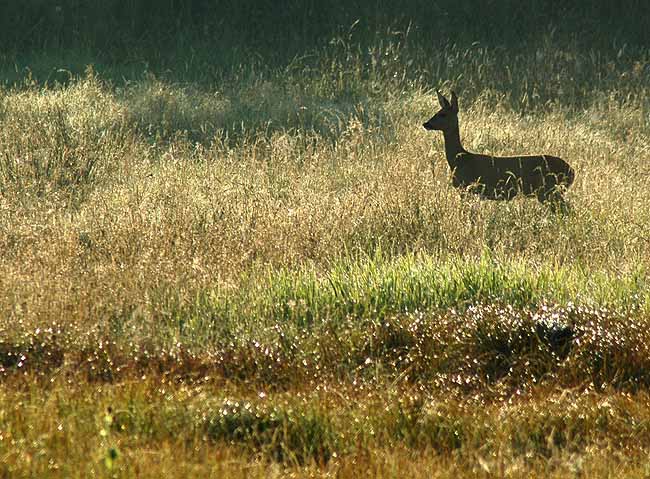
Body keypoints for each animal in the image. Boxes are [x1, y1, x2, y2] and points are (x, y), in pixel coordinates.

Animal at [426, 91, 572, 211]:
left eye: (443, 114)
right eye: (437, 112)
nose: (426, 124)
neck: (460, 160)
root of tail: (571, 170)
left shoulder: (467, 188)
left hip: (547, 189)